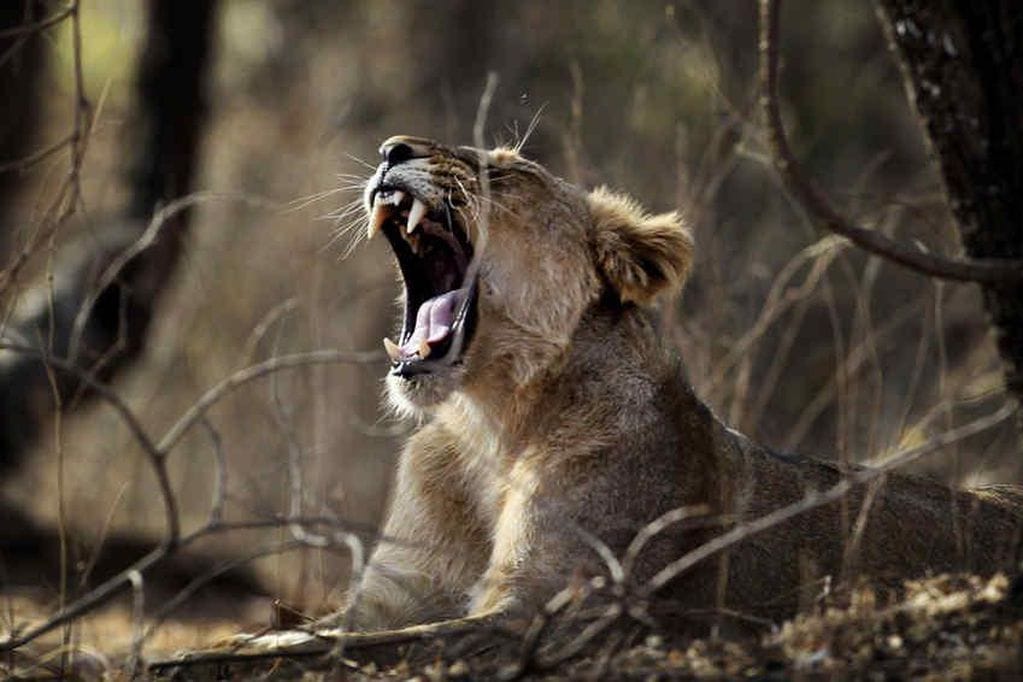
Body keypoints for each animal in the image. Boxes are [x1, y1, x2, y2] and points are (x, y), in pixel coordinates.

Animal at [333, 135, 1022, 636]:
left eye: (504, 174)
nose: (391, 149)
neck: (491, 426)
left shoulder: (544, 608)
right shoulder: (391, 595)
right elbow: (326, 634)